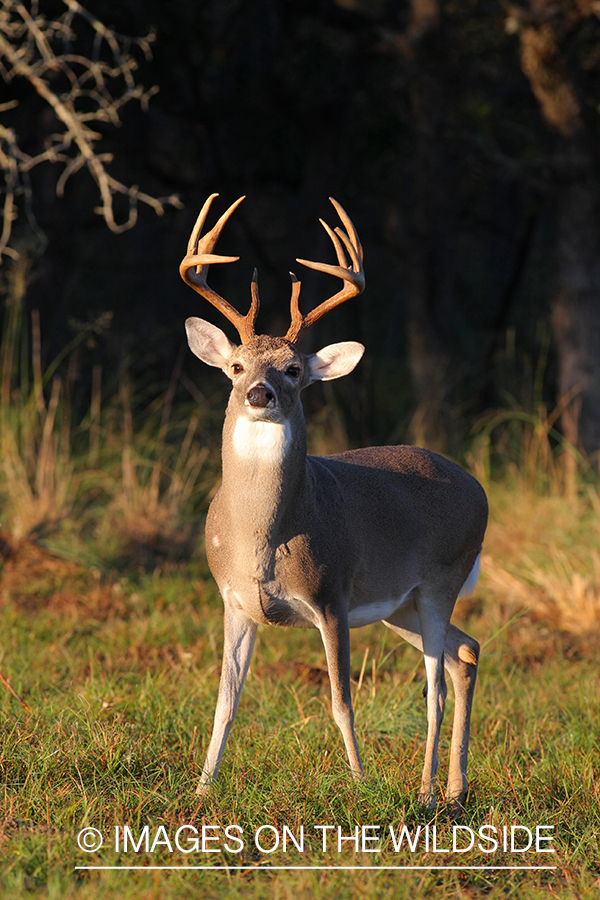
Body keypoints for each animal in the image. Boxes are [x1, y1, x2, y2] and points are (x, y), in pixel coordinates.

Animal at [182, 192, 488, 808]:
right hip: (400, 605)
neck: (264, 537)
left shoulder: (331, 596)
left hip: (440, 580)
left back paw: (424, 793)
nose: (260, 393)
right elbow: (225, 702)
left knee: (436, 684)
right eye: (236, 365)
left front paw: (362, 783)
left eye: (294, 368)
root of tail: (477, 487)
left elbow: (341, 702)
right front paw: (202, 790)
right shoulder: (233, 601)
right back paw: (454, 790)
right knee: (465, 654)